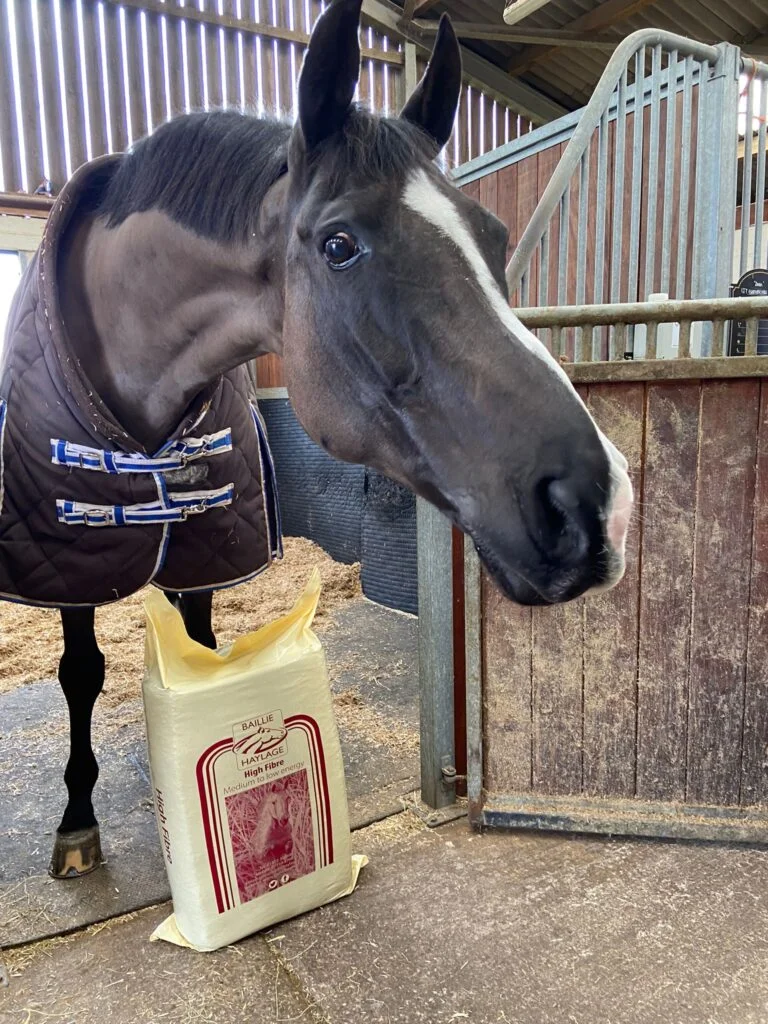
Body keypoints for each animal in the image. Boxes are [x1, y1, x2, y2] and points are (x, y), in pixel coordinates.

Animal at [1, 0, 630, 880]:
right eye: (338, 244)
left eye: (495, 236)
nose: (600, 506)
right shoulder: (67, 556)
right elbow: (82, 671)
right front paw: (76, 824)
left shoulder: (212, 541)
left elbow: (202, 644)